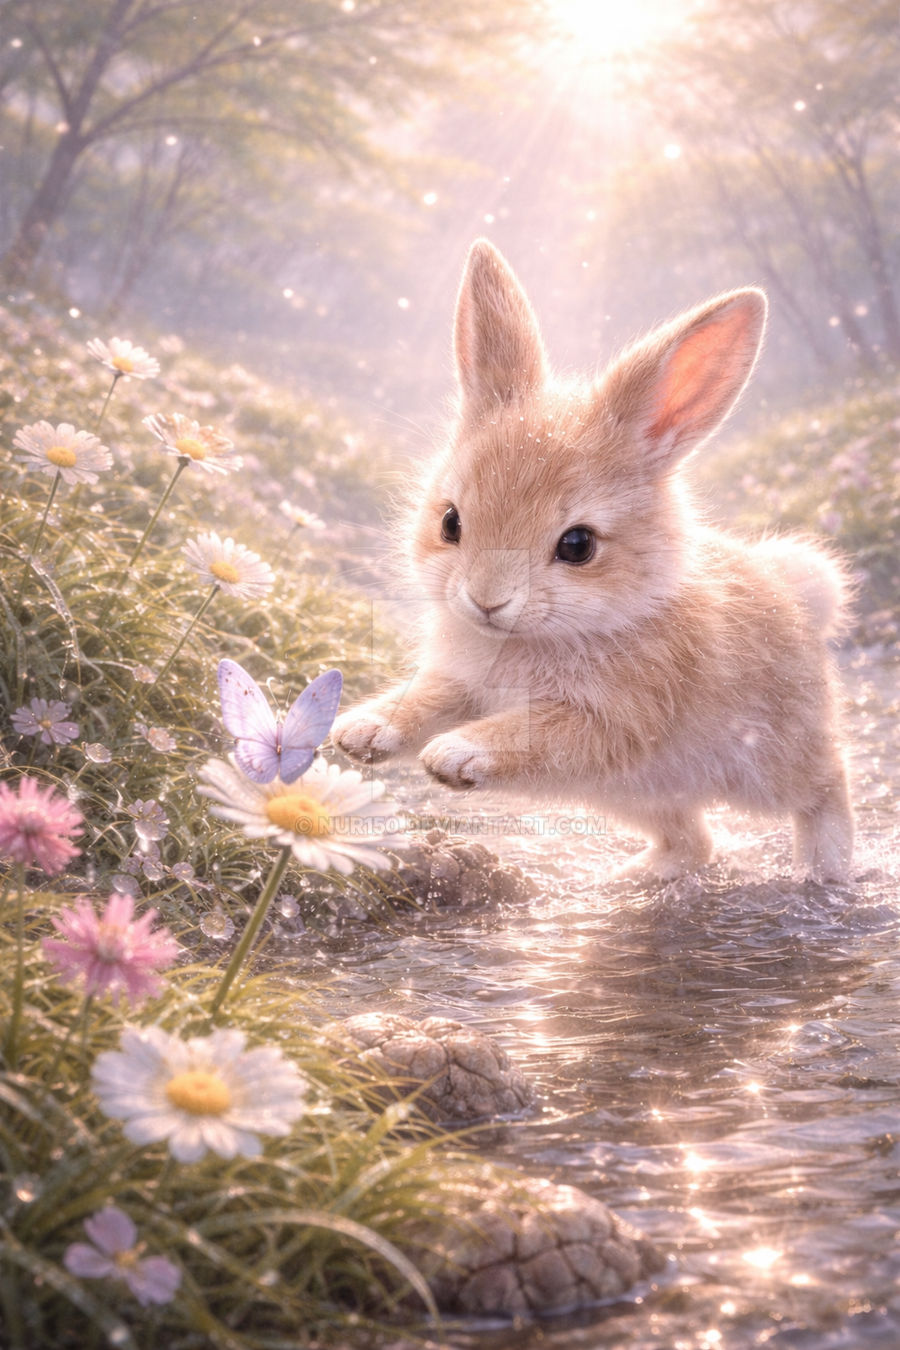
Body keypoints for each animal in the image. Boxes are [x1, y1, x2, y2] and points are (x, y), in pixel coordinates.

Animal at [332, 239, 854, 883]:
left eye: (578, 546)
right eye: (451, 522)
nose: (486, 600)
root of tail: (802, 605)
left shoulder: (613, 718)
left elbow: (531, 732)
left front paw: (452, 755)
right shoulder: (462, 686)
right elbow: (424, 699)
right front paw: (361, 731)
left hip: (768, 765)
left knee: (827, 786)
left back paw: (824, 870)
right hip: (637, 797)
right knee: (693, 842)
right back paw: (629, 878)